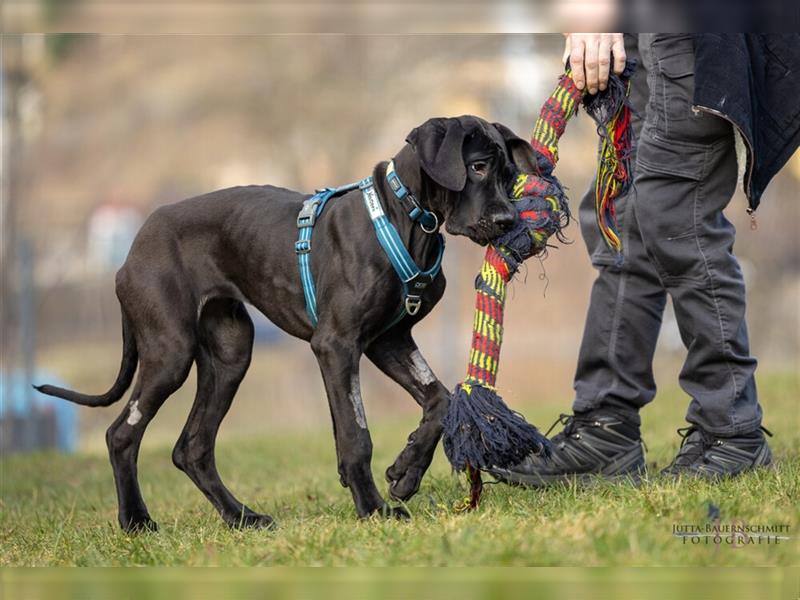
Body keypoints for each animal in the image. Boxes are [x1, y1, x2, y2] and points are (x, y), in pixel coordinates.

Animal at [36, 115, 536, 532]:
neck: (407, 218)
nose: (508, 219)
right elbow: (356, 435)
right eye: (476, 167)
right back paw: (137, 521)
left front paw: (406, 472)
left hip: (231, 353)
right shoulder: (337, 344)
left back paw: (242, 517)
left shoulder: (388, 339)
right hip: (169, 353)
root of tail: (133, 248)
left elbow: (440, 400)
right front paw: (373, 509)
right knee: (122, 434)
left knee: (192, 447)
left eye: (509, 176)